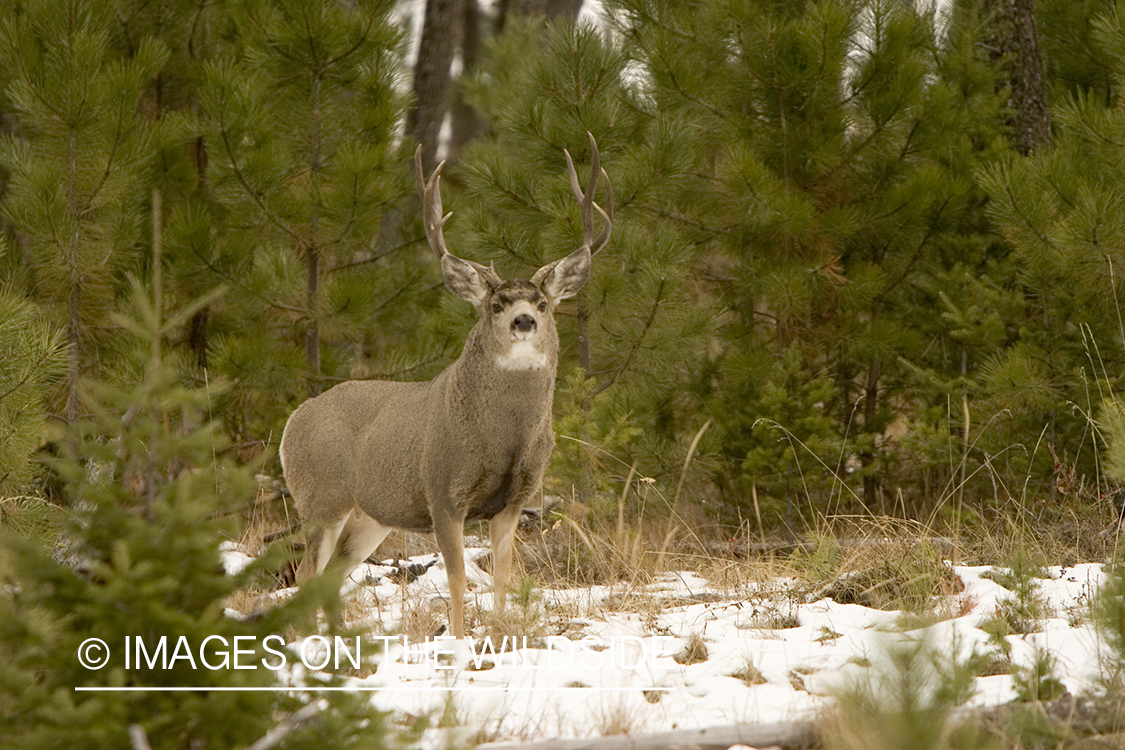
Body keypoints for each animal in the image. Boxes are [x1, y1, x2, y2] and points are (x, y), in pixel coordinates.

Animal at [279, 135, 612, 638]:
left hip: (369, 515)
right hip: (321, 497)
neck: (503, 440)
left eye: (542, 302)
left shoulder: (515, 501)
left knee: (331, 577)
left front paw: (500, 633)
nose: (524, 321)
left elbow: (504, 575)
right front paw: (457, 639)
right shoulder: (442, 493)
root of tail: (292, 422)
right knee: (305, 574)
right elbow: (457, 578)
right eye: (496, 304)